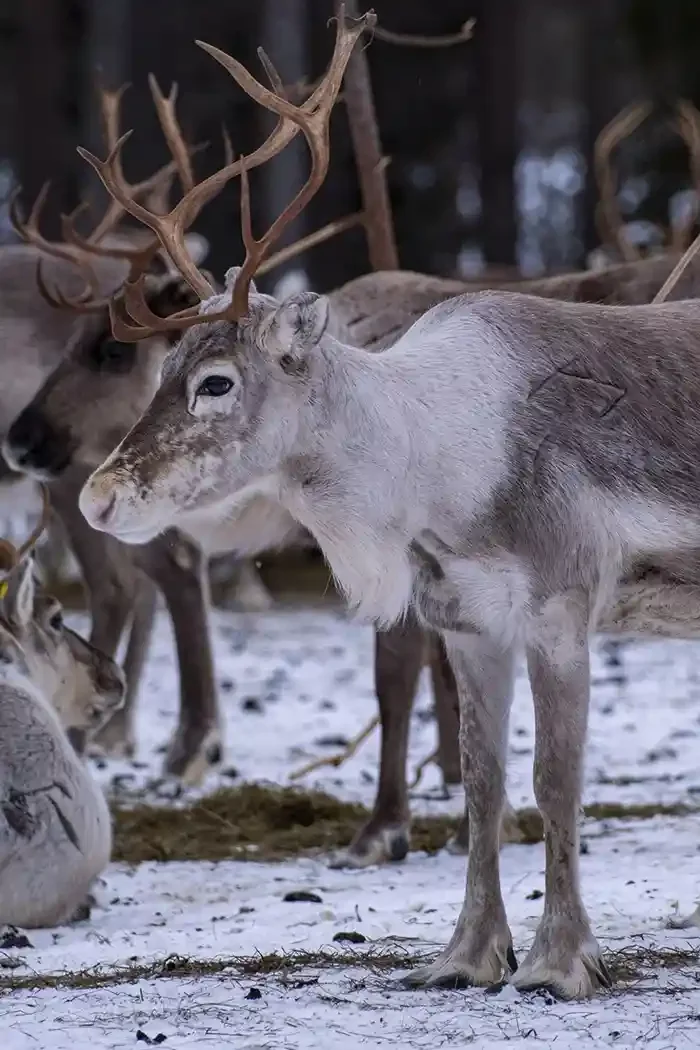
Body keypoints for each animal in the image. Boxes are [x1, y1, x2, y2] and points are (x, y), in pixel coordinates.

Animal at [64, 8, 700, 997]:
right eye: (161, 368)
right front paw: (467, 956)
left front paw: (560, 963)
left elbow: (555, 784)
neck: (433, 471)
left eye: (215, 381)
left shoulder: (562, 607)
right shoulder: (469, 622)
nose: (98, 495)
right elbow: (483, 785)